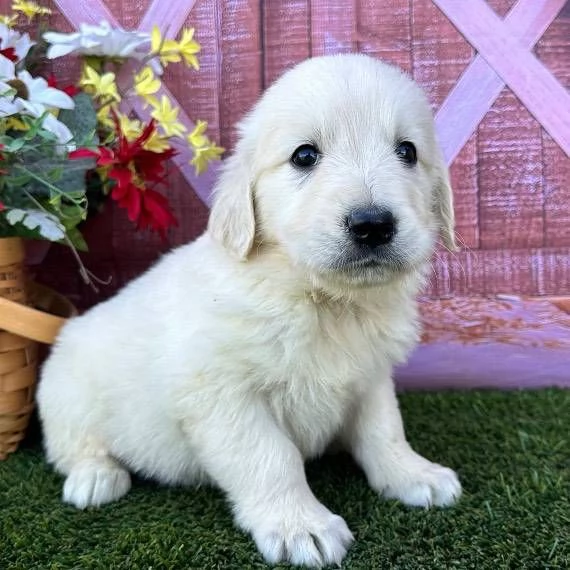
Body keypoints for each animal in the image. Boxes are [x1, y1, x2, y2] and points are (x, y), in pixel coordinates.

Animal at [37, 52, 460, 564]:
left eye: (408, 152)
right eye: (304, 156)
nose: (372, 224)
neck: (320, 300)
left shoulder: (370, 375)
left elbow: (385, 429)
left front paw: (413, 474)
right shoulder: (222, 393)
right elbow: (270, 457)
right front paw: (301, 526)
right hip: (64, 393)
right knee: (72, 446)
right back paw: (96, 476)